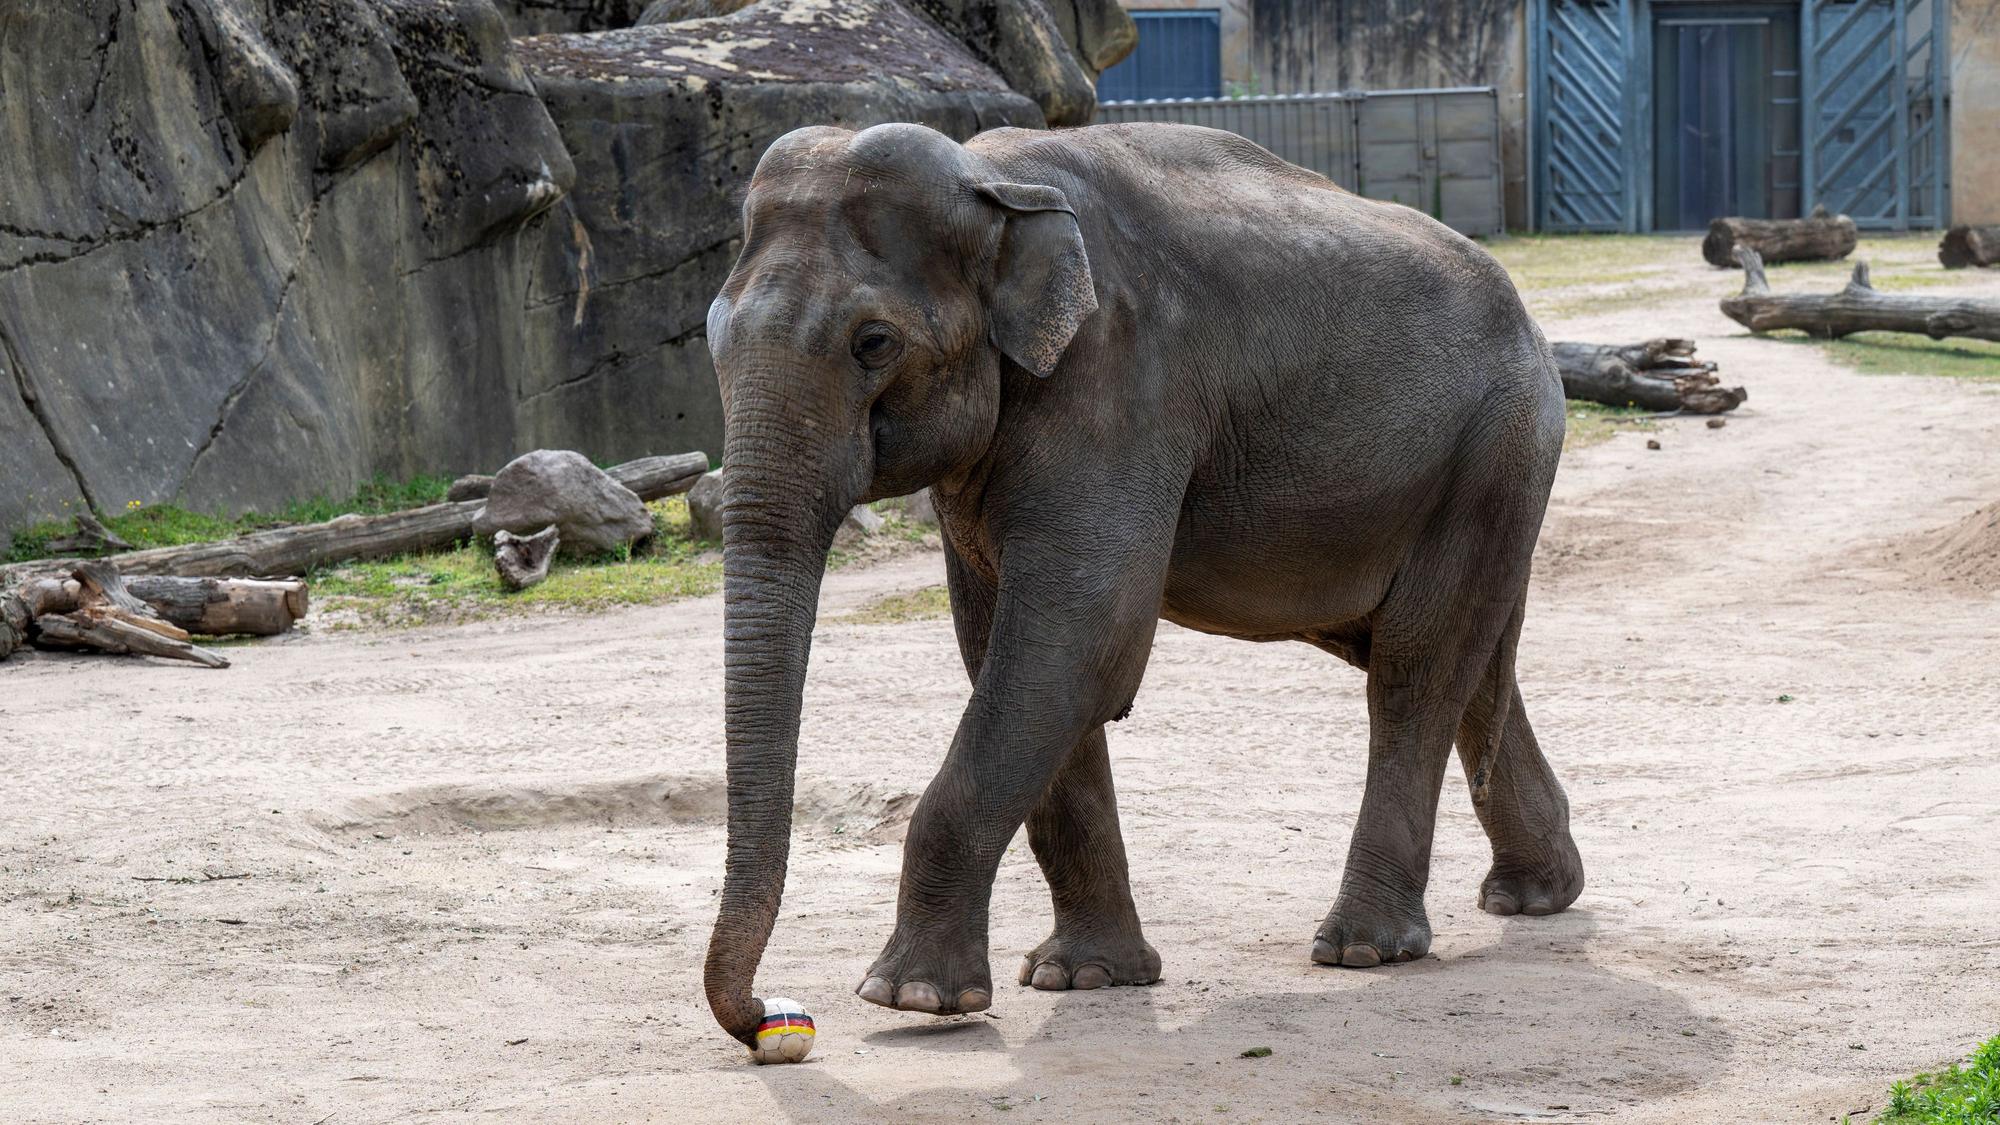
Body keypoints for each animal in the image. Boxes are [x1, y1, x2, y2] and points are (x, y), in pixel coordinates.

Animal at [700, 120, 1584, 1049]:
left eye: (873, 342)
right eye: (713, 334)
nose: (770, 1019)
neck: (995, 183)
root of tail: (1530, 321)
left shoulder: (1119, 389)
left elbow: (1077, 646)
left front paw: (908, 997)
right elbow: (1014, 656)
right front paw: (1082, 975)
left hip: (1496, 447)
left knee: (1415, 670)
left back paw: (1362, 949)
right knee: (1453, 659)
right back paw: (1532, 894)